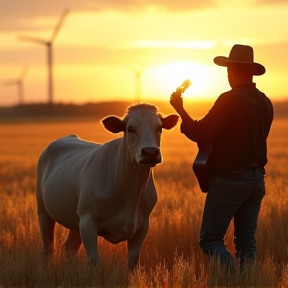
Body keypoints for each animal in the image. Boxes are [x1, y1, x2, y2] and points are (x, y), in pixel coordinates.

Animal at [36, 104, 178, 270]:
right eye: (130, 128)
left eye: (159, 127)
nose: (150, 152)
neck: (130, 192)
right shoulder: (88, 221)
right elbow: (93, 261)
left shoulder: (143, 224)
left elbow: (133, 261)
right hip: (44, 211)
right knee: (47, 247)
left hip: (75, 220)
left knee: (68, 248)